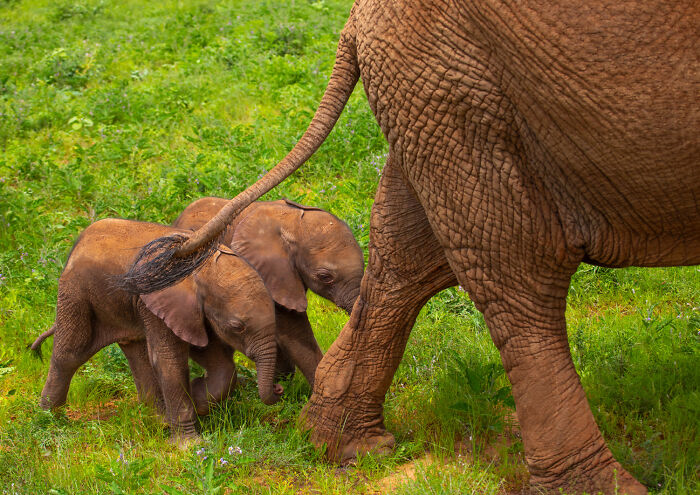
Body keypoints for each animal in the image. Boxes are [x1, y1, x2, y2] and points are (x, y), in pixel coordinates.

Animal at [31, 218, 282, 443]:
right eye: (237, 327)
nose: (279, 388)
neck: (202, 267)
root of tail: (78, 242)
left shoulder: (197, 313)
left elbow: (217, 361)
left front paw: (197, 399)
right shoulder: (159, 300)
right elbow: (169, 361)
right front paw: (189, 445)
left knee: (136, 351)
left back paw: (157, 420)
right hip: (76, 293)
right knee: (70, 354)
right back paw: (50, 421)